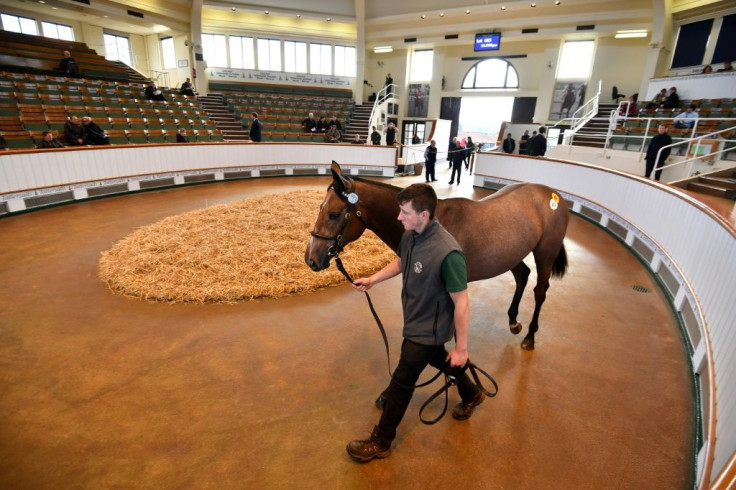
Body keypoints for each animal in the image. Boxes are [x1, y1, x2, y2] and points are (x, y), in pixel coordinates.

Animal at [304, 163, 568, 350]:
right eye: (319, 208)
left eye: (334, 214)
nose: (311, 258)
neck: (433, 224)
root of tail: (553, 194)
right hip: (512, 254)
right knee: (522, 275)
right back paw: (513, 321)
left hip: (545, 253)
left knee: (540, 291)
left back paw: (530, 336)